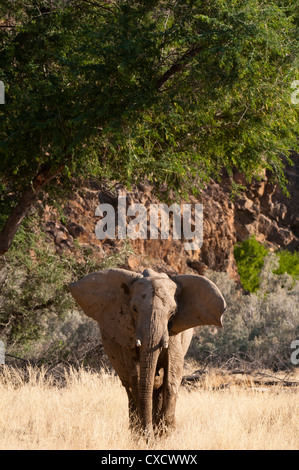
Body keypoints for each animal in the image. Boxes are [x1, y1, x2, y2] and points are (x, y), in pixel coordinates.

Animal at [69, 270, 226, 438]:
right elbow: (136, 378)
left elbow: (172, 376)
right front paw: (146, 435)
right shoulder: (128, 333)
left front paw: (166, 433)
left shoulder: (174, 334)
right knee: (130, 387)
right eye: (134, 309)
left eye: (173, 312)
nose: (148, 435)